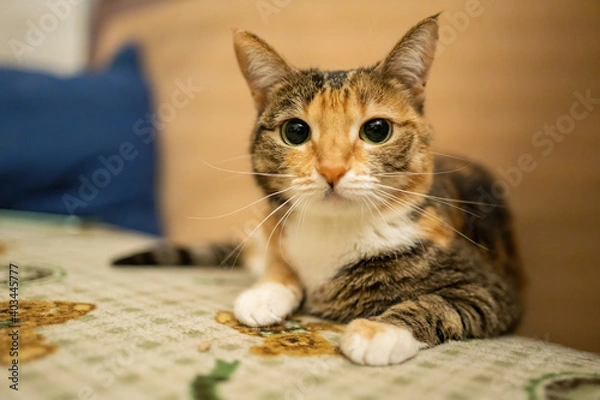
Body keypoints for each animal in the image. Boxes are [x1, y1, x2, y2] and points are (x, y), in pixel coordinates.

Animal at [112, 14, 524, 366]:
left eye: (377, 130)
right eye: (295, 131)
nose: (332, 169)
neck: (332, 232)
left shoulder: (491, 289)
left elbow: (438, 303)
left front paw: (378, 332)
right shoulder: (278, 227)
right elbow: (281, 262)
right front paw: (265, 292)